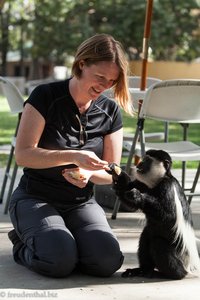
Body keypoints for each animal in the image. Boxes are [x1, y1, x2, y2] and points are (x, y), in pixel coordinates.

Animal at [108, 149, 200, 280]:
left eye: (147, 160)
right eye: (143, 159)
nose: (139, 164)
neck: (156, 183)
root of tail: (188, 266)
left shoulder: (167, 187)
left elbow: (169, 217)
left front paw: (137, 196)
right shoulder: (142, 184)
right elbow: (126, 192)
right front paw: (117, 174)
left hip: (179, 255)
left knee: (158, 243)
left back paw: (169, 274)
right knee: (145, 237)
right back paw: (142, 270)